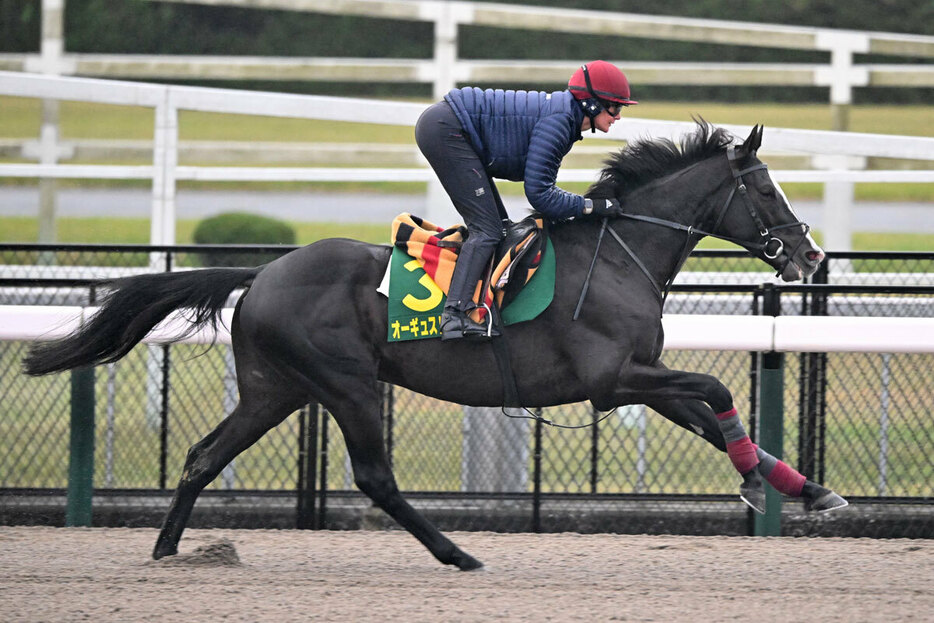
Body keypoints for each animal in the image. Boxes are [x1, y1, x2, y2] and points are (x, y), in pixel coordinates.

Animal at [27, 120, 848, 572]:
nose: (811, 256)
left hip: (274, 388)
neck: (618, 252)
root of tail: (263, 272)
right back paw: (458, 552)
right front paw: (767, 486)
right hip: (348, 383)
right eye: (767, 191)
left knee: (203, 455)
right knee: (374, 477)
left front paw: (804, 489)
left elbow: (712, 416)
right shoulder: (614, 377)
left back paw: (169, 550)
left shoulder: (637, 374)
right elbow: (717, 391)